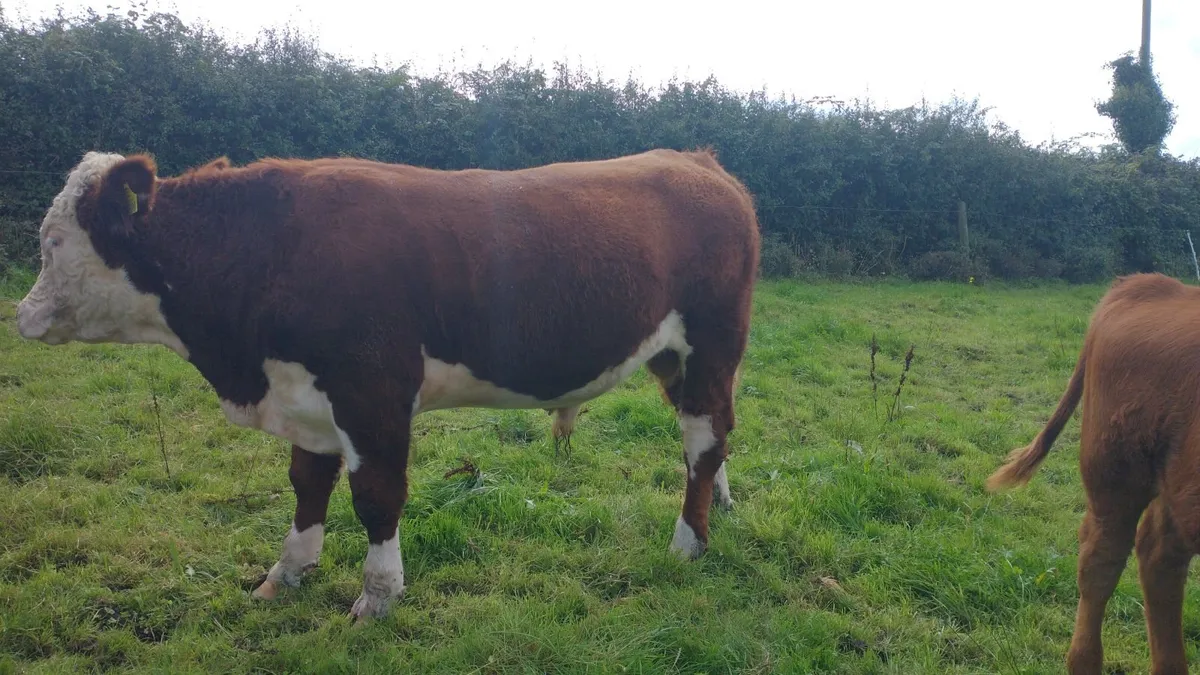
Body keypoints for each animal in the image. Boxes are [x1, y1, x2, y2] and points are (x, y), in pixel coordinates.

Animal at [15, 148, 760, 621]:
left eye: (52, 243)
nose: (21, 315)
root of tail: (695, 160)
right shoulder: (306, 394)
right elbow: (306, 485)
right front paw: (287, 573)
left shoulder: (371, 392)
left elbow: (375, 496)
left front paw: (376, 597)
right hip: (674, 357)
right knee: (714, 436)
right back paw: (721, 506)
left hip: (713, 342)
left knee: (702, 441)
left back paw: (688, 543)